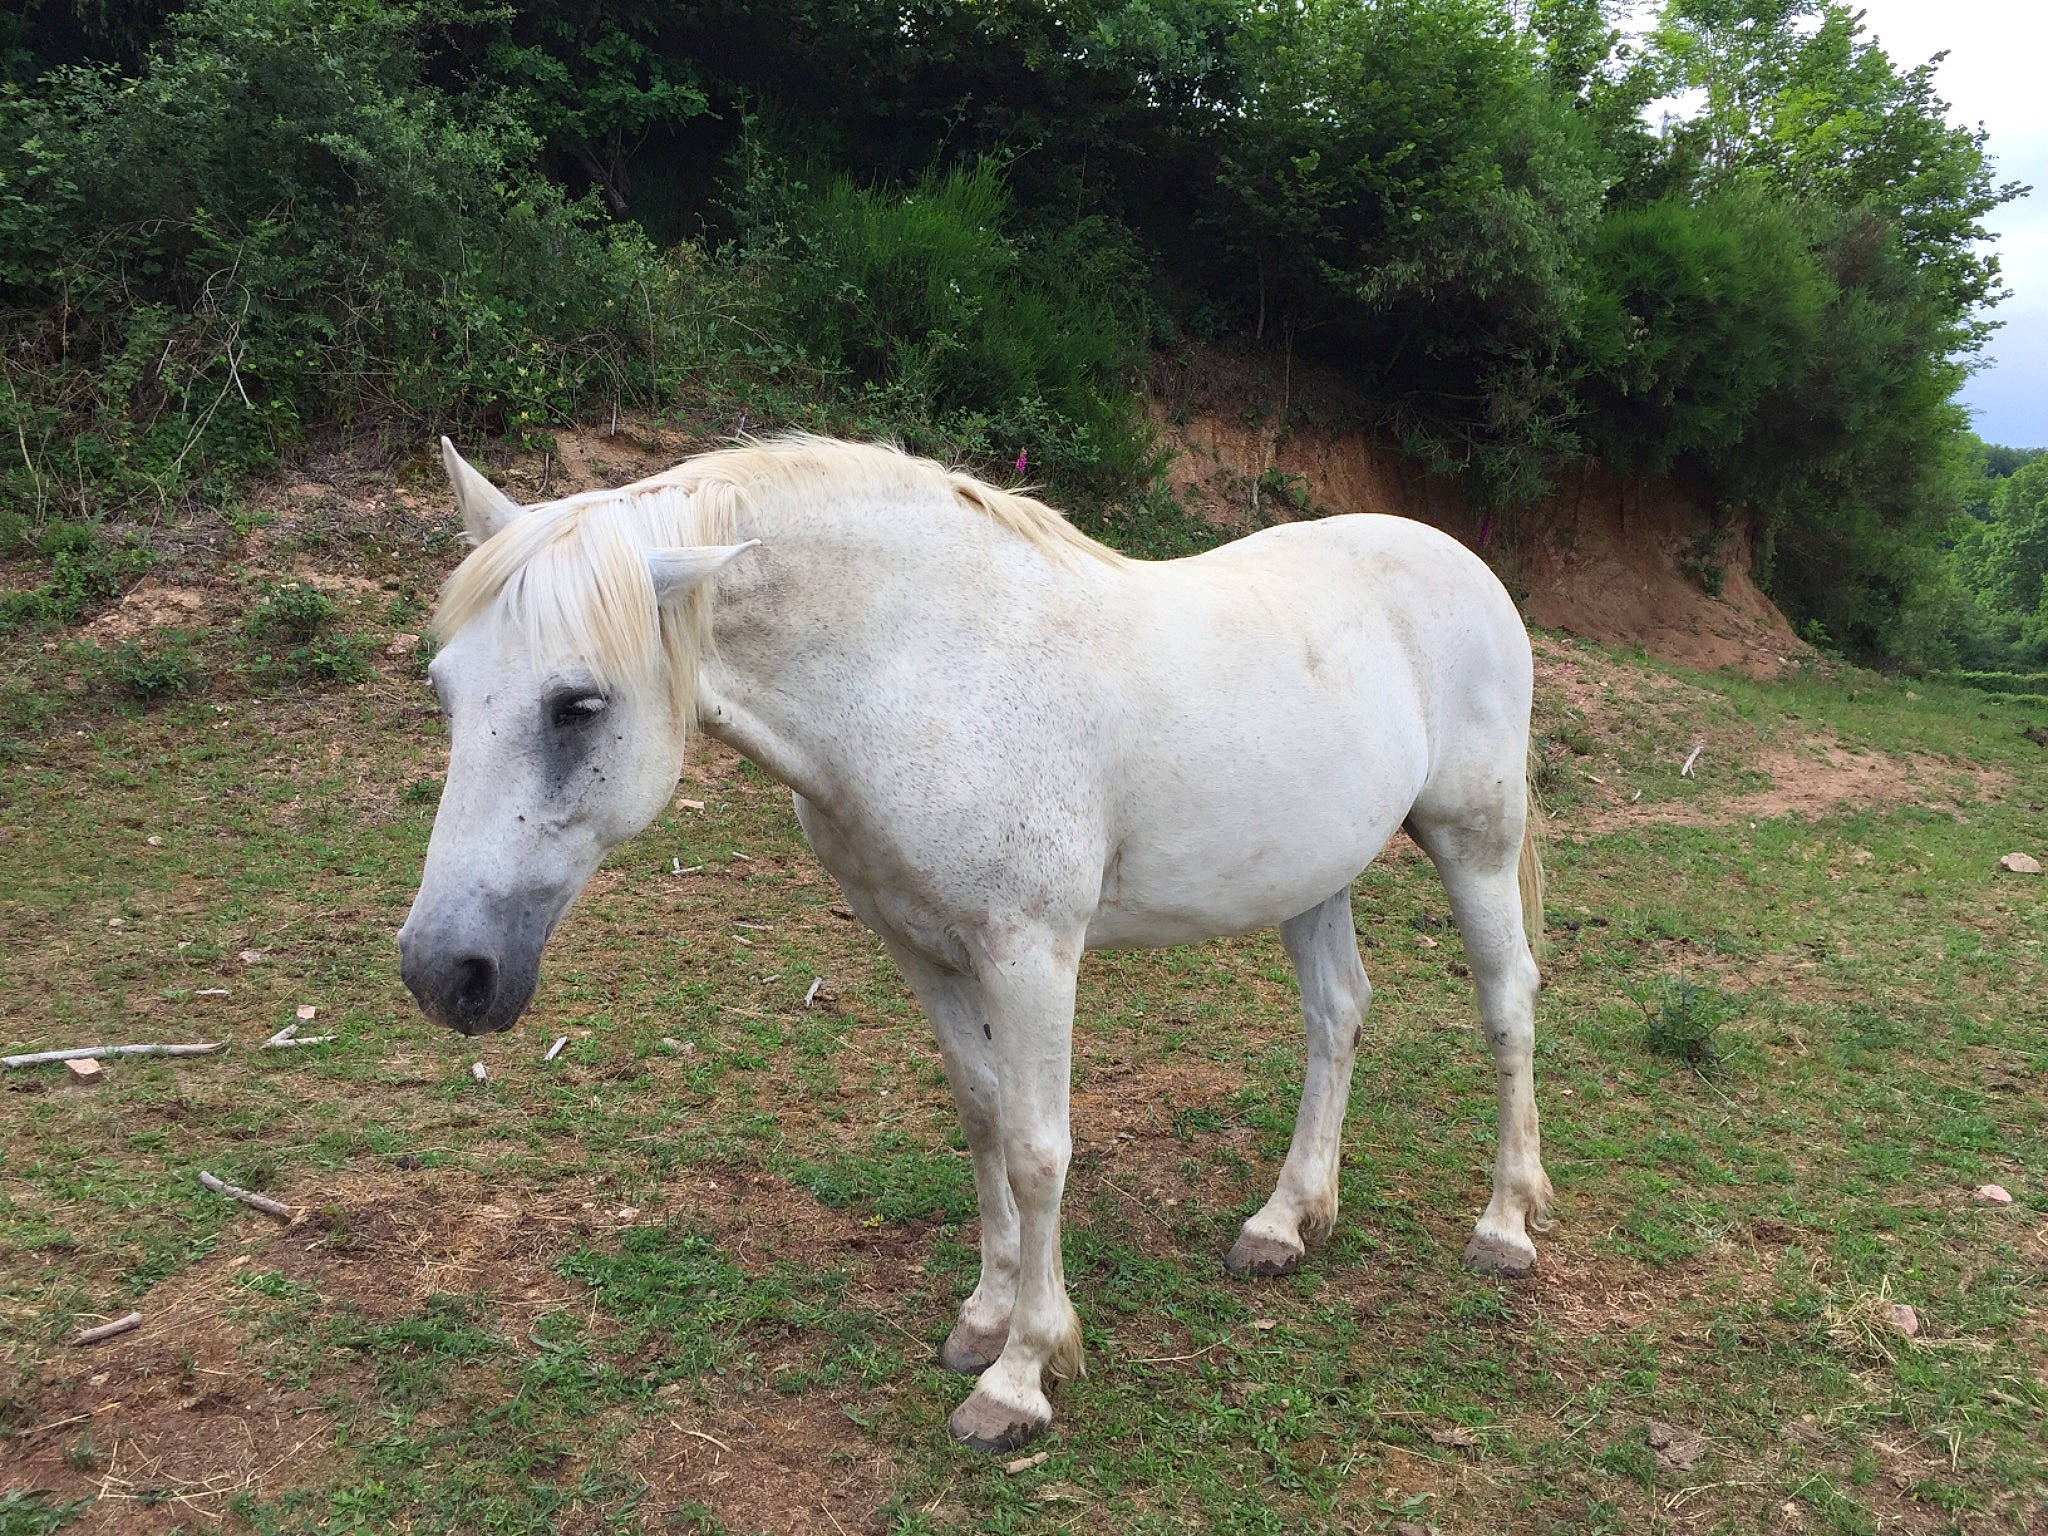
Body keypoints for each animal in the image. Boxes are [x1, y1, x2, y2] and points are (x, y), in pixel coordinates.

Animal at [399, 434, 1553, 1451]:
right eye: (445, 690)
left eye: (576, 704)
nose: (443, 973)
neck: (927, 672)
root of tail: (1455, 557)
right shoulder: (922, 949)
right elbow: (984, 1118)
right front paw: (985, 1319)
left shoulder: (1030, 955)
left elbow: (1041, 1150)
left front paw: (1021, 1378)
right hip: (1314, 874)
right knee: (1336, 1016)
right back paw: (1284, 1221)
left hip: (1474, 840)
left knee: (1506, 1007)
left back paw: (1503, 1226)